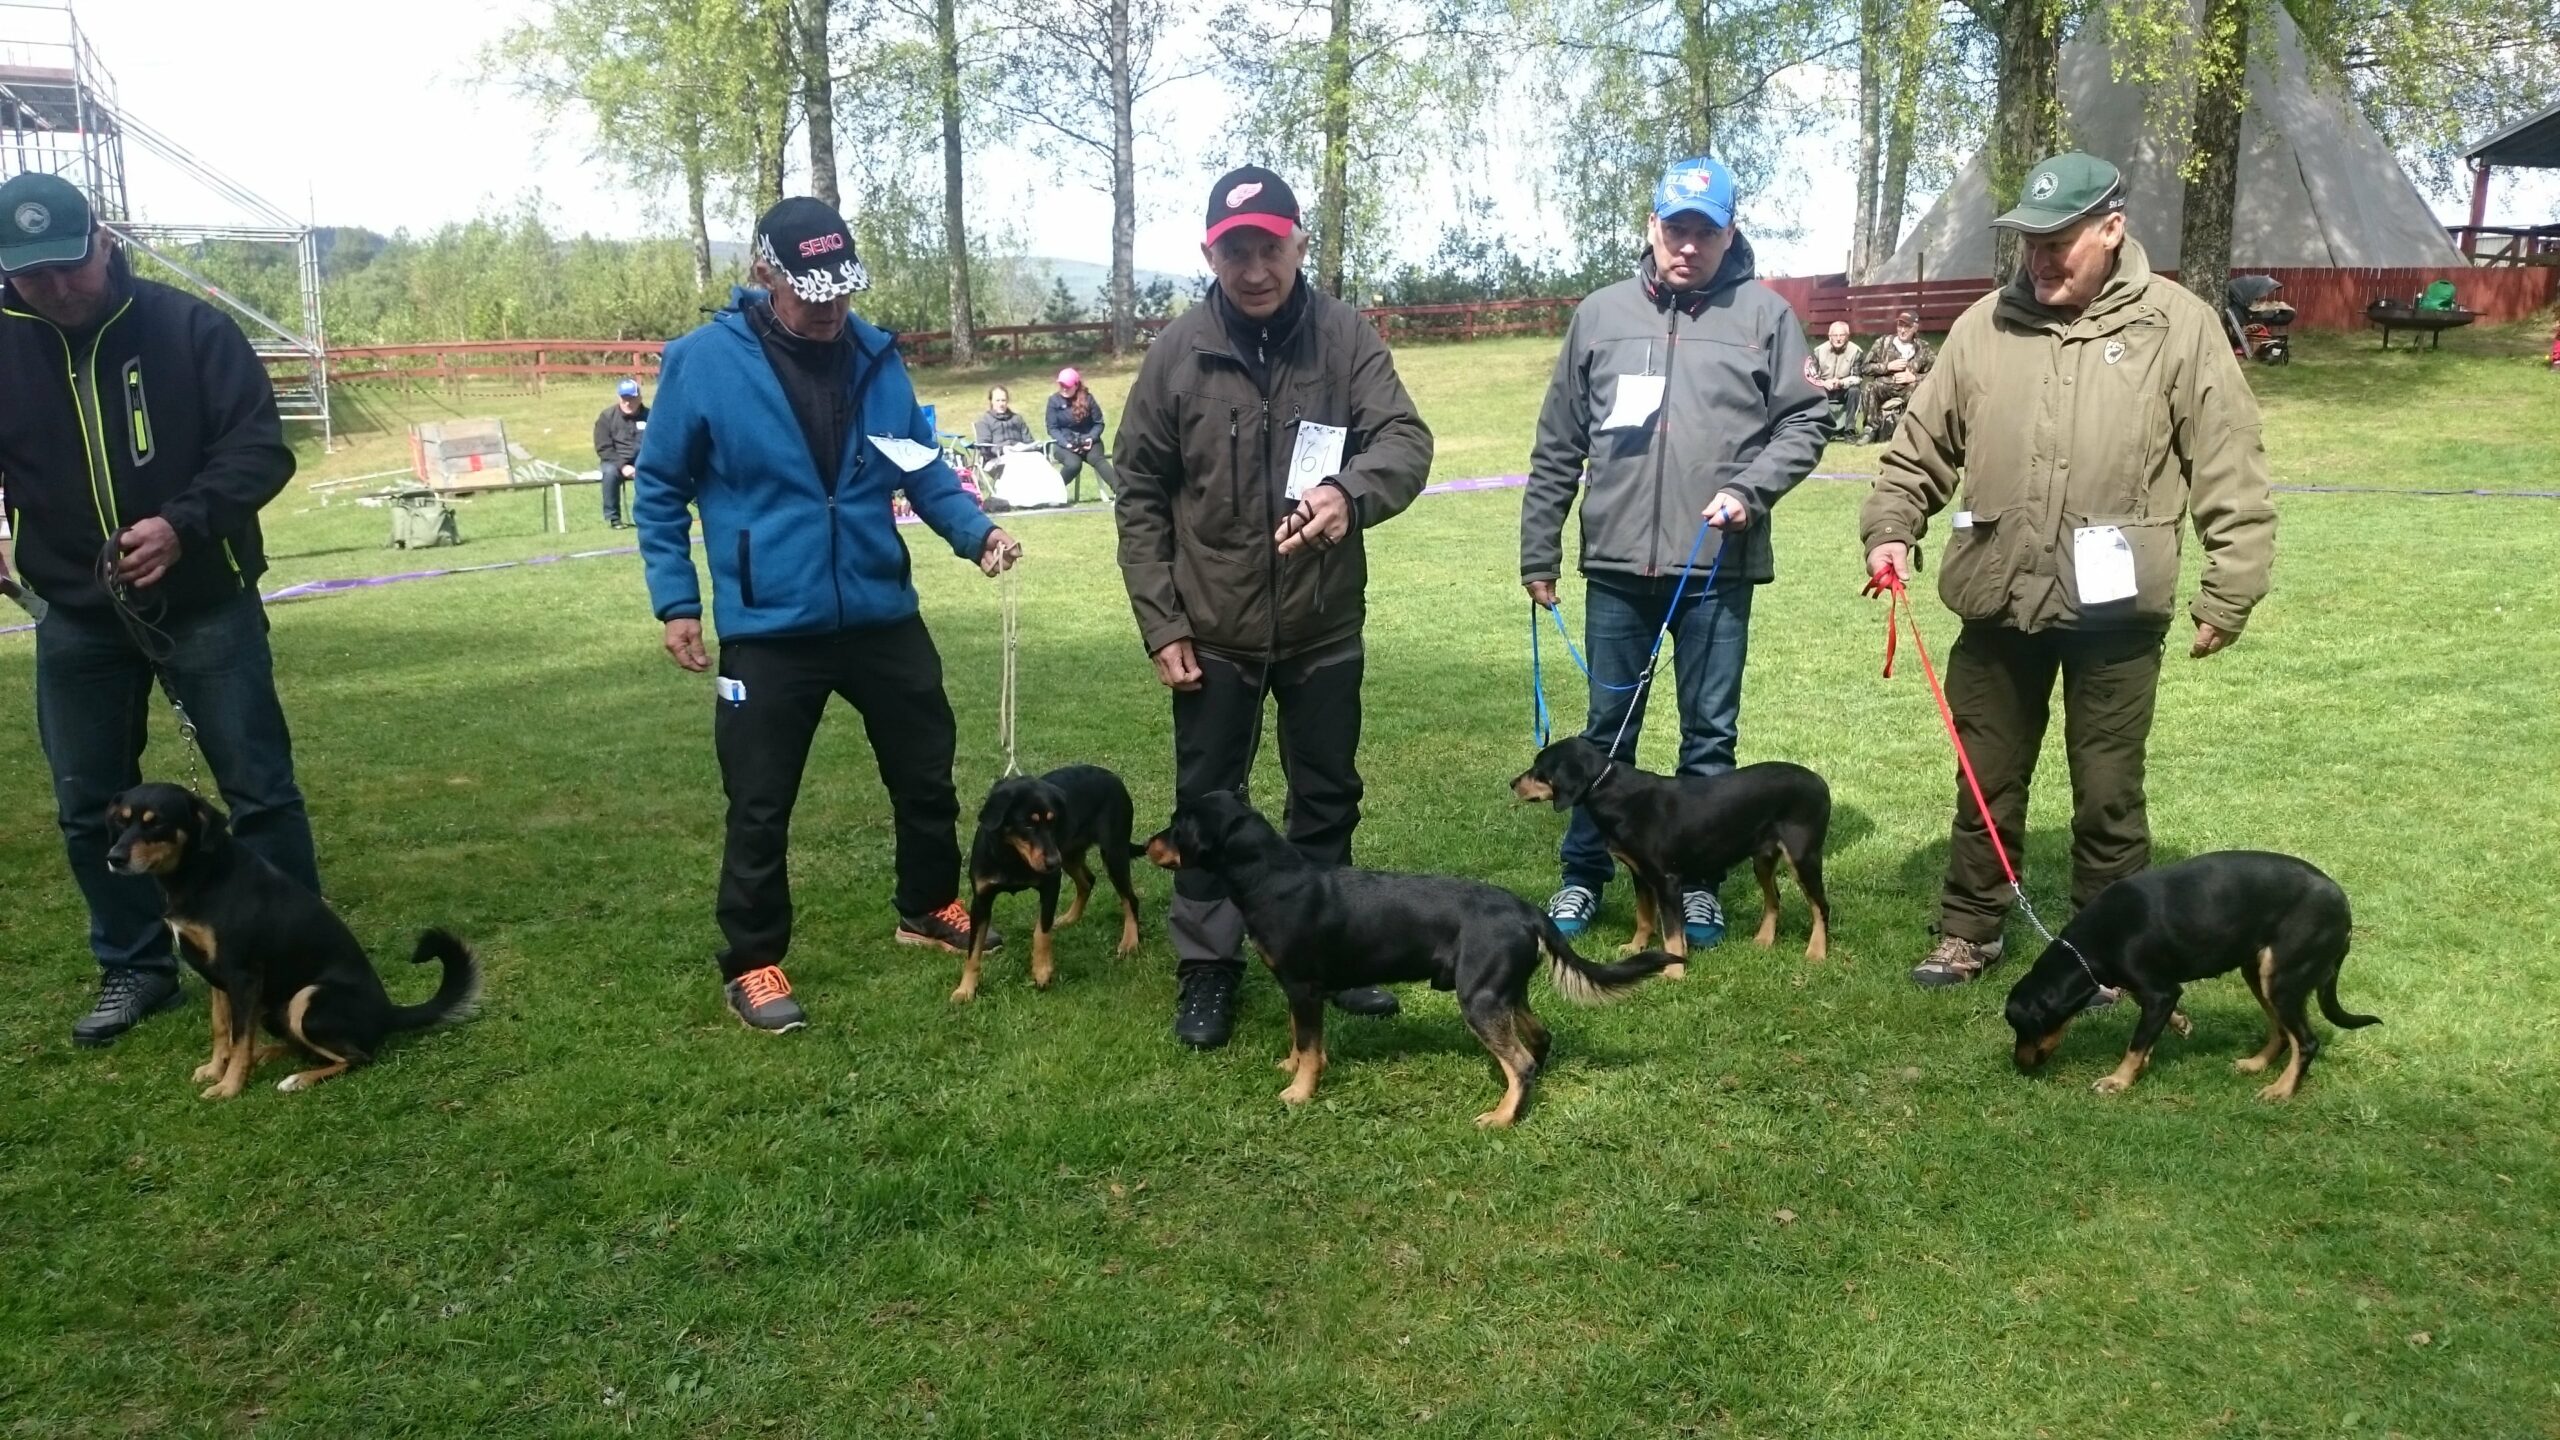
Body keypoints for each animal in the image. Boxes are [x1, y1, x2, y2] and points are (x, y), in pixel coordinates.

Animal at [103, 778, 481, 1091]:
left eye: (157, 822)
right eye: (121, 821)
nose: (114, 858)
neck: (202, 874)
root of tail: (389, 1012)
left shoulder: (242, 976)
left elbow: (239, 1039)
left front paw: (228, 1087)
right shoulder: (219, 979)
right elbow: (222, 1029)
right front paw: (215, 1071)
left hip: (307, 998)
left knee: (357, 1057)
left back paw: (298, 1079)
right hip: (273, 1007)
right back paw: (269, 1055)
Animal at [957, 763, 1146, 999]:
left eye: (1053, 821)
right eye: (1028, 825)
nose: (1053, 861)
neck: (1012, 857)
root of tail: (1113, 777)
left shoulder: (1050, 886)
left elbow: (1041, 931)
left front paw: (1042, 972)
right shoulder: (981, 900)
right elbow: (973, 950)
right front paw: (965, 989)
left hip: (1111, 853)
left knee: (1130, 898)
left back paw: (1129, 942)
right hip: (1070, 855)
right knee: (1088, 881)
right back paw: (1069, 918)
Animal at [1146, 784, 1679, 1122]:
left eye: (1177, 826)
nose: (1145, 845)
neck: (1271, 878)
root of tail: (1527, 911)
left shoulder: (1304, 987)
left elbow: (1312, 1047)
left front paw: (1299, 1092)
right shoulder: (1297, 991)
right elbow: (1301, 1040)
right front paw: (1290, 1068)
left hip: (1479, 998)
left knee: (1521, 1061)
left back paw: (1500, 1119)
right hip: (1502, 991)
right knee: (1537, 1042)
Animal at [1505, 737, 1832, 963]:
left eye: (1539, 769)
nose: (1512, 783)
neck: (1609, 790)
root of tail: (1820, 782)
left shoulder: (1667, 880)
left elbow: (1672, 931)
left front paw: (1673, 971)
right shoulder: (1640, 874)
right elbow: (1644, 916)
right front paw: (1635, 947)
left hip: (1802, 857)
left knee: (1821, 907)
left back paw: (1816, 952)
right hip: (1763, 858)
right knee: (1774, 898)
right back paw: (1764, 940)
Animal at [1996, 850, 2375, 1096]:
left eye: (2023, 1027)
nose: (2019, 1064)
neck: (2089, 948)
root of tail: (2344, 906)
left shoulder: (2160, 991)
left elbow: (2136, 1043)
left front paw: (2118, 1082)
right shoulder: (2155, 992)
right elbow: (2147, 1028)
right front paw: (2177, 1026)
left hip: (2282, 979)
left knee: (2306, 1042)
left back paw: (2280, 1090)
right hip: (2258, 972)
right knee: (2284, 1034)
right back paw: (2255, 1065)